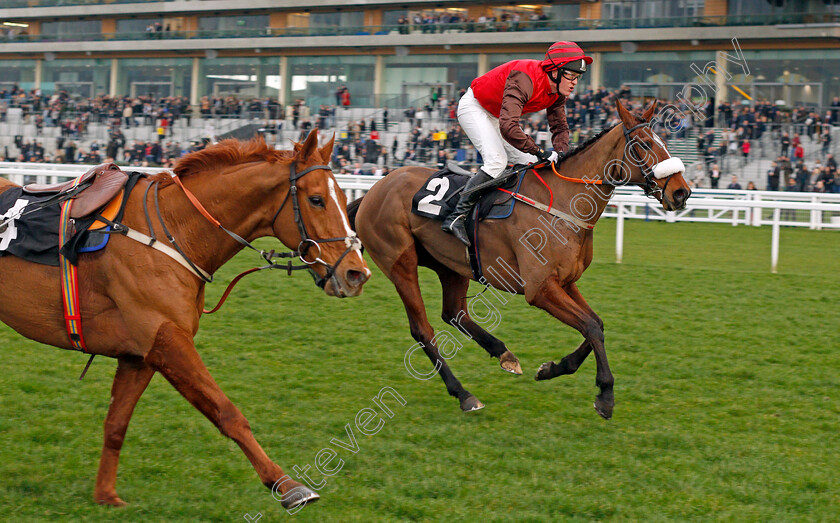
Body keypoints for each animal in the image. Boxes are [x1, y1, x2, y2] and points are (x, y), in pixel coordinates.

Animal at [0, 131, 368, 512]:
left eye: (344, 197)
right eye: (316, 199)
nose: (357, 273)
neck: (170, 230)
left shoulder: (140, 355)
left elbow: (116, 424)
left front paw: (106, 495)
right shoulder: (168, 339)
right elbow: (228, 413)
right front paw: (288, 485)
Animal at [352, 100, 688, 420]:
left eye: (665, 141)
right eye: (644, 144)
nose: (682, 192)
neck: (564, 202)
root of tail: (374, 190)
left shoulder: (566, 281)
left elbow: (596, 324)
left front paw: (553, 369)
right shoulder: (539, 288)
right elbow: (591, 326)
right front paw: (605, 395)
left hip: (450, 264)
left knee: (455, 313)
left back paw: (503, 354)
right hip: (401, 263)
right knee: (423, 329)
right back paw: (464, 394)